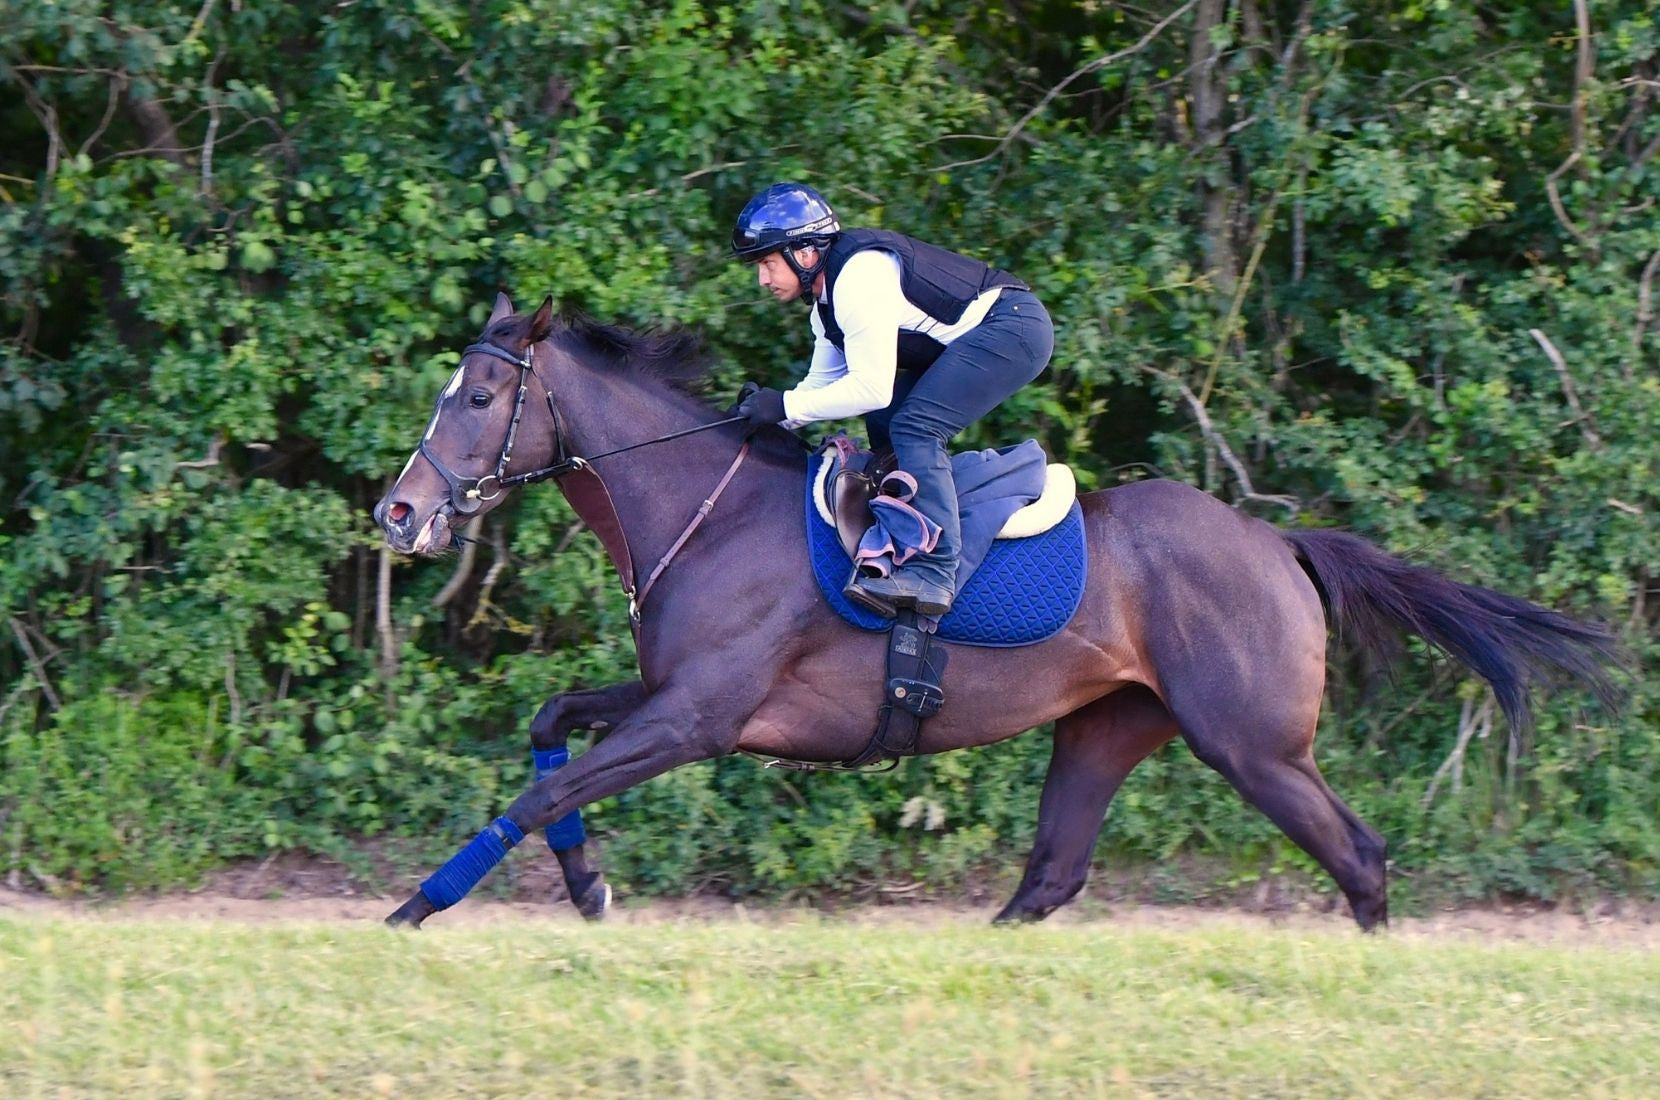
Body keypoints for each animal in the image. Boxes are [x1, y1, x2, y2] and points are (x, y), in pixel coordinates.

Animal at [373, 292, 1620, 929]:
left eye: (477, 396)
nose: (399, 511)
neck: (703, 506)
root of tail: (1276, 542)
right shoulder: (665, 691)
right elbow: (549, 730)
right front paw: (587, 883)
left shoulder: (698, 718)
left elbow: (542, 791)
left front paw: (420, 906)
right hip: (1109, 724)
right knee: (1051, 872)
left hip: (1254, 743)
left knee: (1357, 857)